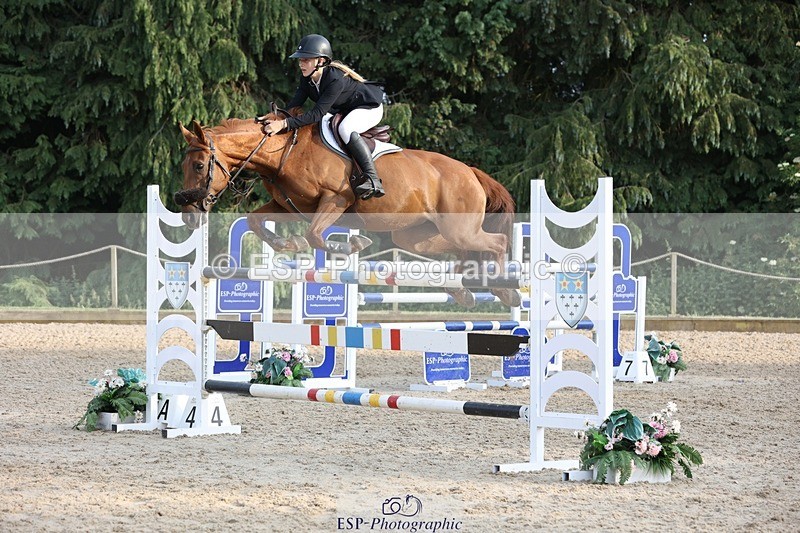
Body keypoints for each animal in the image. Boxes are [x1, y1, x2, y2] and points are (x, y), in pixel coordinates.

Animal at [174, 110, 521, 308]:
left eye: (199, 165)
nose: (189, 215)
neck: (283, 151)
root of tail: (471, 172)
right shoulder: (288, 206)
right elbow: (256, 221)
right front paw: (289, 243)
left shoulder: (335, 200)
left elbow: (315, 236)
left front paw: (351, 244)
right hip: (416, 236)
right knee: (460, 250)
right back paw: (465, 290)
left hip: (458, 228)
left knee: (497, 242)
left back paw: (505, 289)